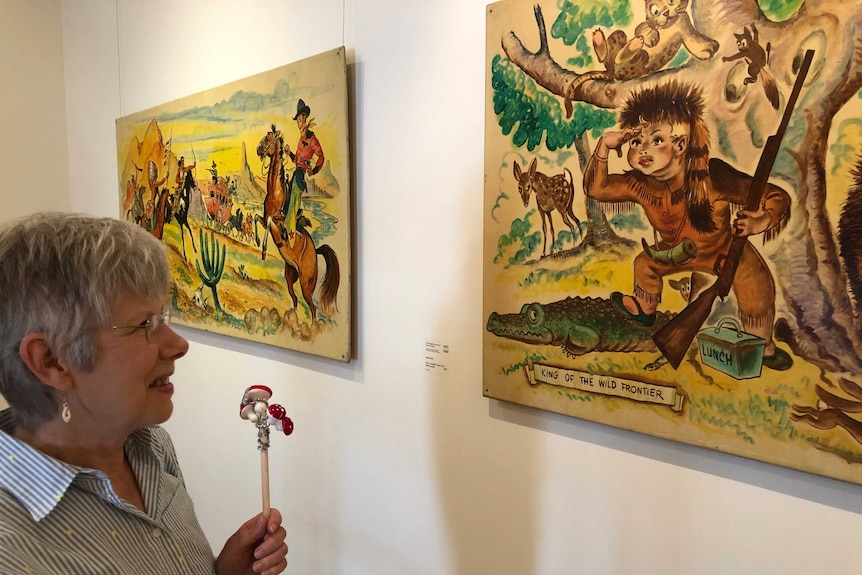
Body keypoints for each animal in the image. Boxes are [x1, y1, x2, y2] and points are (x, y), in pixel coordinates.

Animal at [253, 125, 340, 320]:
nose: (258, 150)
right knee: (294, 300)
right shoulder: (264, 217)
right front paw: (257, 241)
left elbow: (269, 222)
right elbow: (257, 218)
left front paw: (264, 249)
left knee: (312, 308)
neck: (276, 194)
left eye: (268, 138)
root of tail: (315, 251)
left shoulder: (278, 222)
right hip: (290, 275)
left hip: (306, 283)